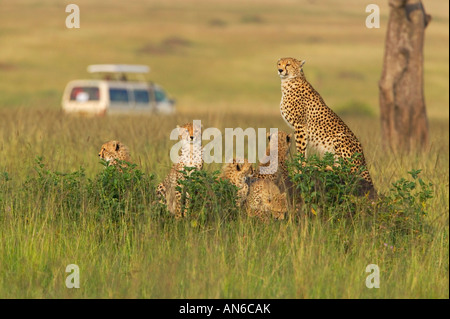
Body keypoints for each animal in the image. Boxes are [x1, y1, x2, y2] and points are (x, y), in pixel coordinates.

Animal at [278, 57, 376, 198]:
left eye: (288, 64)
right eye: (279, 63)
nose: (280, 70)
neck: (289, 81)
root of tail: (363, 158)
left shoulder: (300, 126)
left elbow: (301, 151)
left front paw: (300, 169)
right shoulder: (300, 129)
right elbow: (303, 150)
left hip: (340, 137)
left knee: (348, 172)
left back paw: (324, 167)